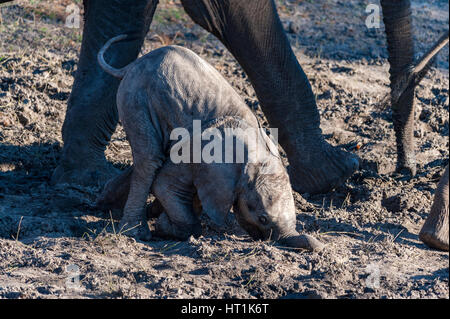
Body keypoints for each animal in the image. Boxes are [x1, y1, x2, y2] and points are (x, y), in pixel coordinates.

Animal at [96, 35, 324, 252]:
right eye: (263, 219)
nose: (321, 247)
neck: (254, 155)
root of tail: (134, 64)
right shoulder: (199, 152)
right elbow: (164, 184)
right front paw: (165, 228)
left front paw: (162, 219)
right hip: (136, 98)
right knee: (150, 159)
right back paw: (135, 232)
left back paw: (106, 204)